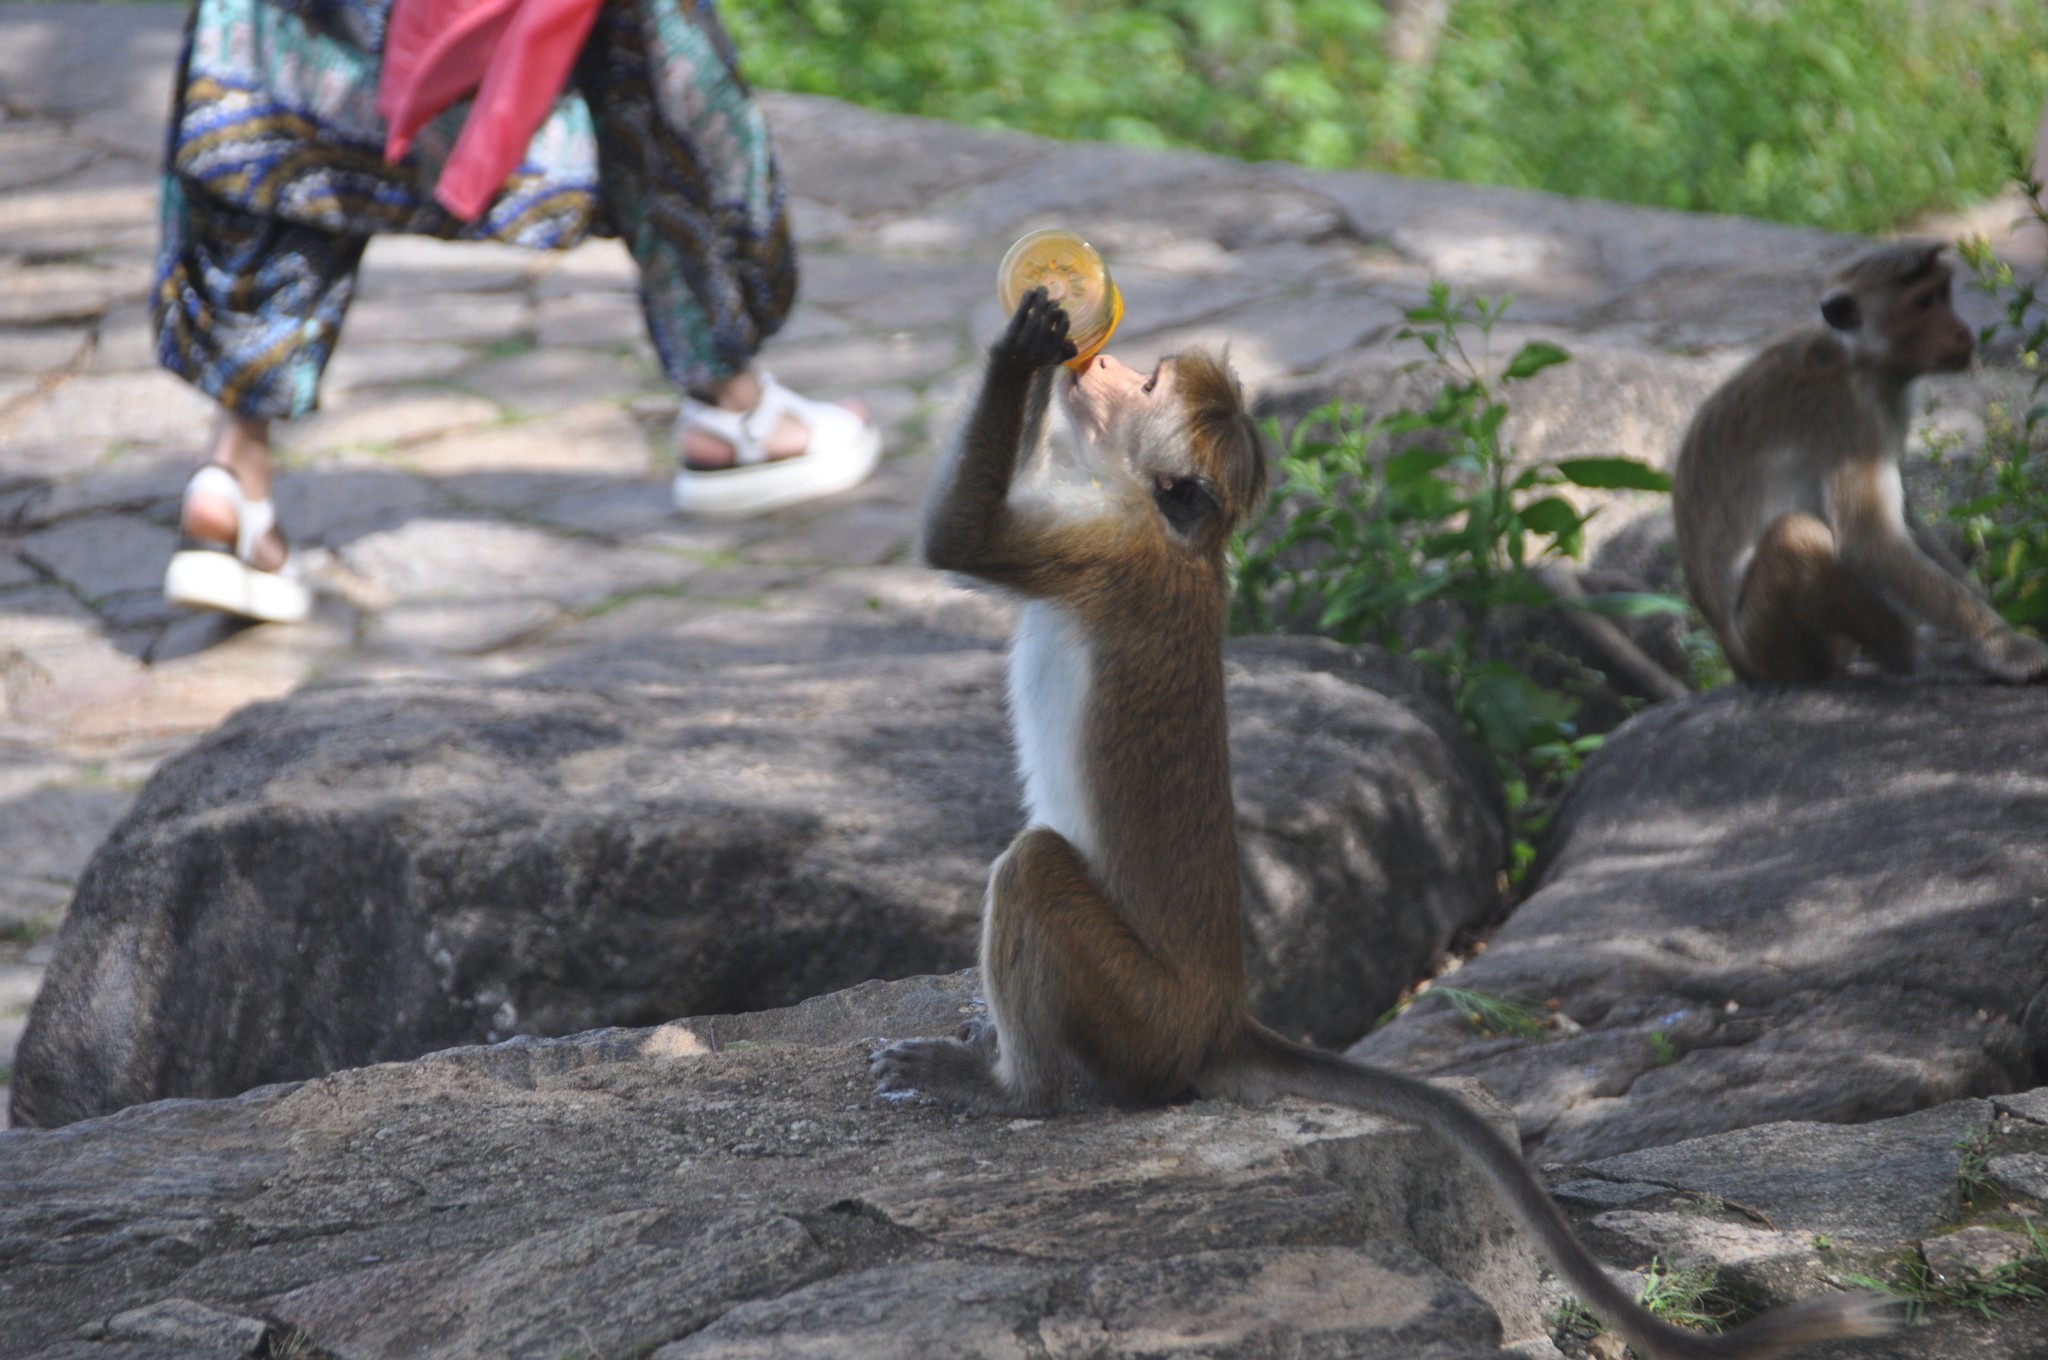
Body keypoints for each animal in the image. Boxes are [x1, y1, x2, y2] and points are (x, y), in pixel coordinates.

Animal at [864, 288, 1884, 1360]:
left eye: (1143, 386)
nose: (1096, 366)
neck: (1169, 531)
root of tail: (1223, 1017)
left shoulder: (1103, 551)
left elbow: (961, 541)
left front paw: (1022, 345)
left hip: (1139, 1011)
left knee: (1031, 870)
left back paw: (1013, 1090)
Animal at [1679, 240, 2048, 684]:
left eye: (1943, 293)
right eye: (1923, 302)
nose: (1962, 329)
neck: (1858, 358)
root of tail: (1739, 664)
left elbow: (1906, 522)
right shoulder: (1850, 414)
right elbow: (1872, 543)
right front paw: (2006, 647)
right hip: (1768, 646)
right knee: (1798, 534)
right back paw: (1912, 657)